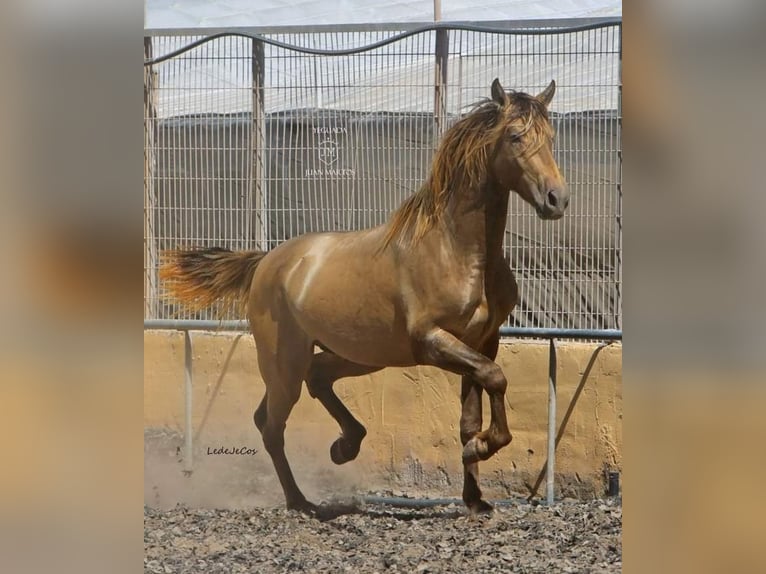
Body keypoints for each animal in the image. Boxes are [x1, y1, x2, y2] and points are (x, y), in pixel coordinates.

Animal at [162, 77, 568, 516]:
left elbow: (472, 414)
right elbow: (496, 378)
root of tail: (267, 261)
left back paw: (345, 446)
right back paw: (302, 501)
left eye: (551, 137)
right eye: (515, 136)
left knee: (311, 382)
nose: (557, 200)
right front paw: (481, 450)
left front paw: (476, 496)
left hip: (357, 355)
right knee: (272, 425)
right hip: (284, 361)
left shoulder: (482, 342)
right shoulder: (433, 341)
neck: (456, 251)